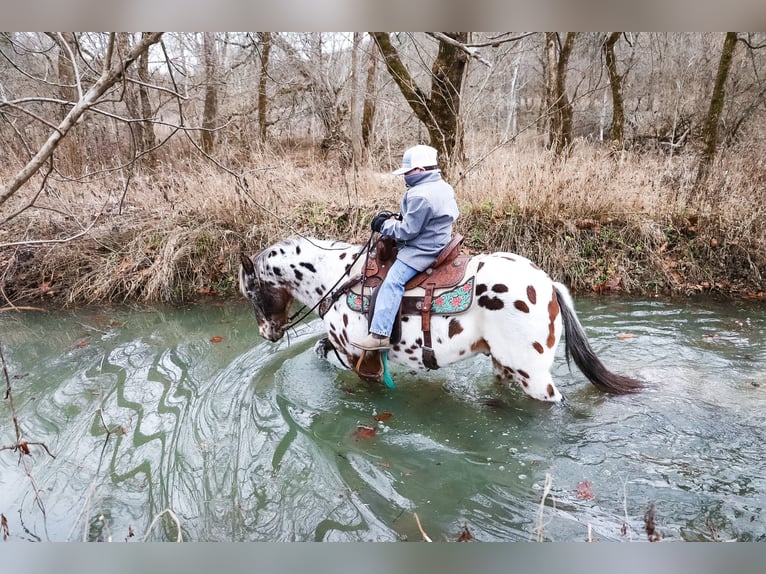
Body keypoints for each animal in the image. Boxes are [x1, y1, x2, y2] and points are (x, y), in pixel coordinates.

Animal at [238, 236, 640, 402]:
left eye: (251, 291)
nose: (267, 333)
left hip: (535, 377)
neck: (335, 277)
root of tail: (548, 284)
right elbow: (322, 348)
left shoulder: (357, 356)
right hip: (504, 365)